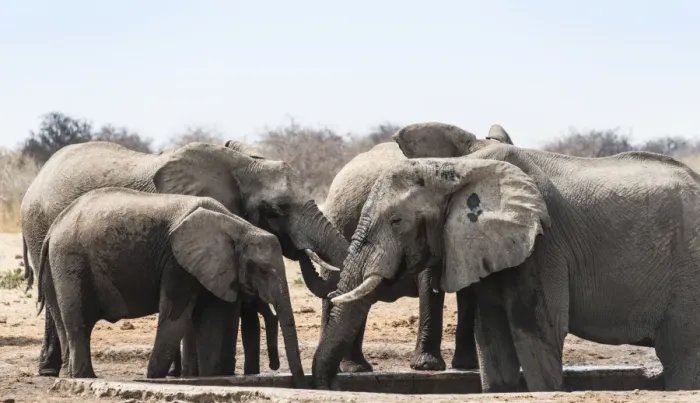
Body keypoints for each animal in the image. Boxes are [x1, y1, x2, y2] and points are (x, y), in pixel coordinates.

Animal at [35, 187, 304, 384]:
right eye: (262, 270)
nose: (300, 382)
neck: (237, 226)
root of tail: (53, 229)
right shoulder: (177, 263)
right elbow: (176, 317)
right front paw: (153, 377)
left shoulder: (216, 267)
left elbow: (215, 320)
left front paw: (213, 376)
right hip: (70, 261)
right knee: (78, 321)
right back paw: (85, 377)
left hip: (56, 265)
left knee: (63, 321)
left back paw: (70, 376)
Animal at [313, 121, 700, 392]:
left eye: (396, 221)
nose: (329, 386)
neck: (457, 170)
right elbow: (492, 337)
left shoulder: (543, 244)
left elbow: (539, 332)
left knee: (681, 354)